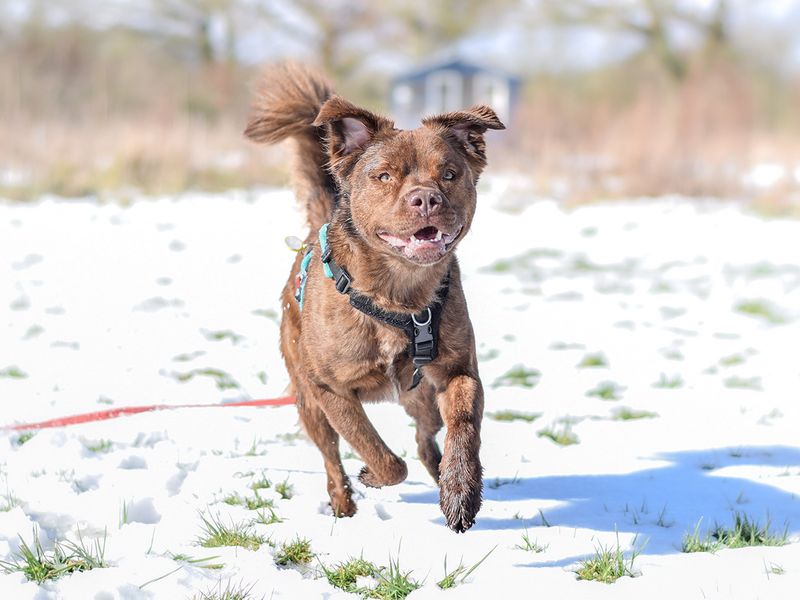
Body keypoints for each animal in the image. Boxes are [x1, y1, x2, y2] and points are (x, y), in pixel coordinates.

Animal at [245, 63, 506, 532]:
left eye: (449, 173)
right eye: (383, 176)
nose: (426, 199)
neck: (397, 295)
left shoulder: (459, 372)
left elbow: (464, 429)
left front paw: (460, 491)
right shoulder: (330, 390)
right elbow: (378, 454)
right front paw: (371, 473)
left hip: (421, 395)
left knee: (425, 439)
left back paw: (440, 472)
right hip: (308, 402)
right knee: (332, 456)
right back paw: (343, 502)